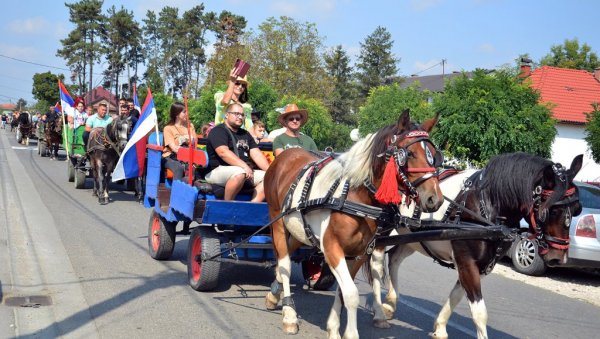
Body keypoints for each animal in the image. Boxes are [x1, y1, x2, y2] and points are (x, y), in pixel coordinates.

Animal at [264, 110, 446, 338]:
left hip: (298, 229)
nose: (434, 199)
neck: (356, 195)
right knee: (285, 263)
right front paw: (350, 333)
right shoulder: (332, 248)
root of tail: (286, 155)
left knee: (286, 255)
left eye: (434, 155)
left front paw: (333, 327)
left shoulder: (359, 252)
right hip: (278, 221)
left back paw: (274, 292)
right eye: (409, 154)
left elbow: (343, 291)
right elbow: (351, 293)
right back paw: (289, 314)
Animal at [370, 153, 580, 338]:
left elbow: (456, 296)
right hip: (382, 230)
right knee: (376, 263)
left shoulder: (480, 266)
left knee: (394, 258)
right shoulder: (466, 261)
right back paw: (379, 312)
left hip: (411, 238)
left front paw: (440, 327)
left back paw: (391, 303)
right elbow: (480, 313)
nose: (558, 257)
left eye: (576, 209)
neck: (488, 206)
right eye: (550, 210)